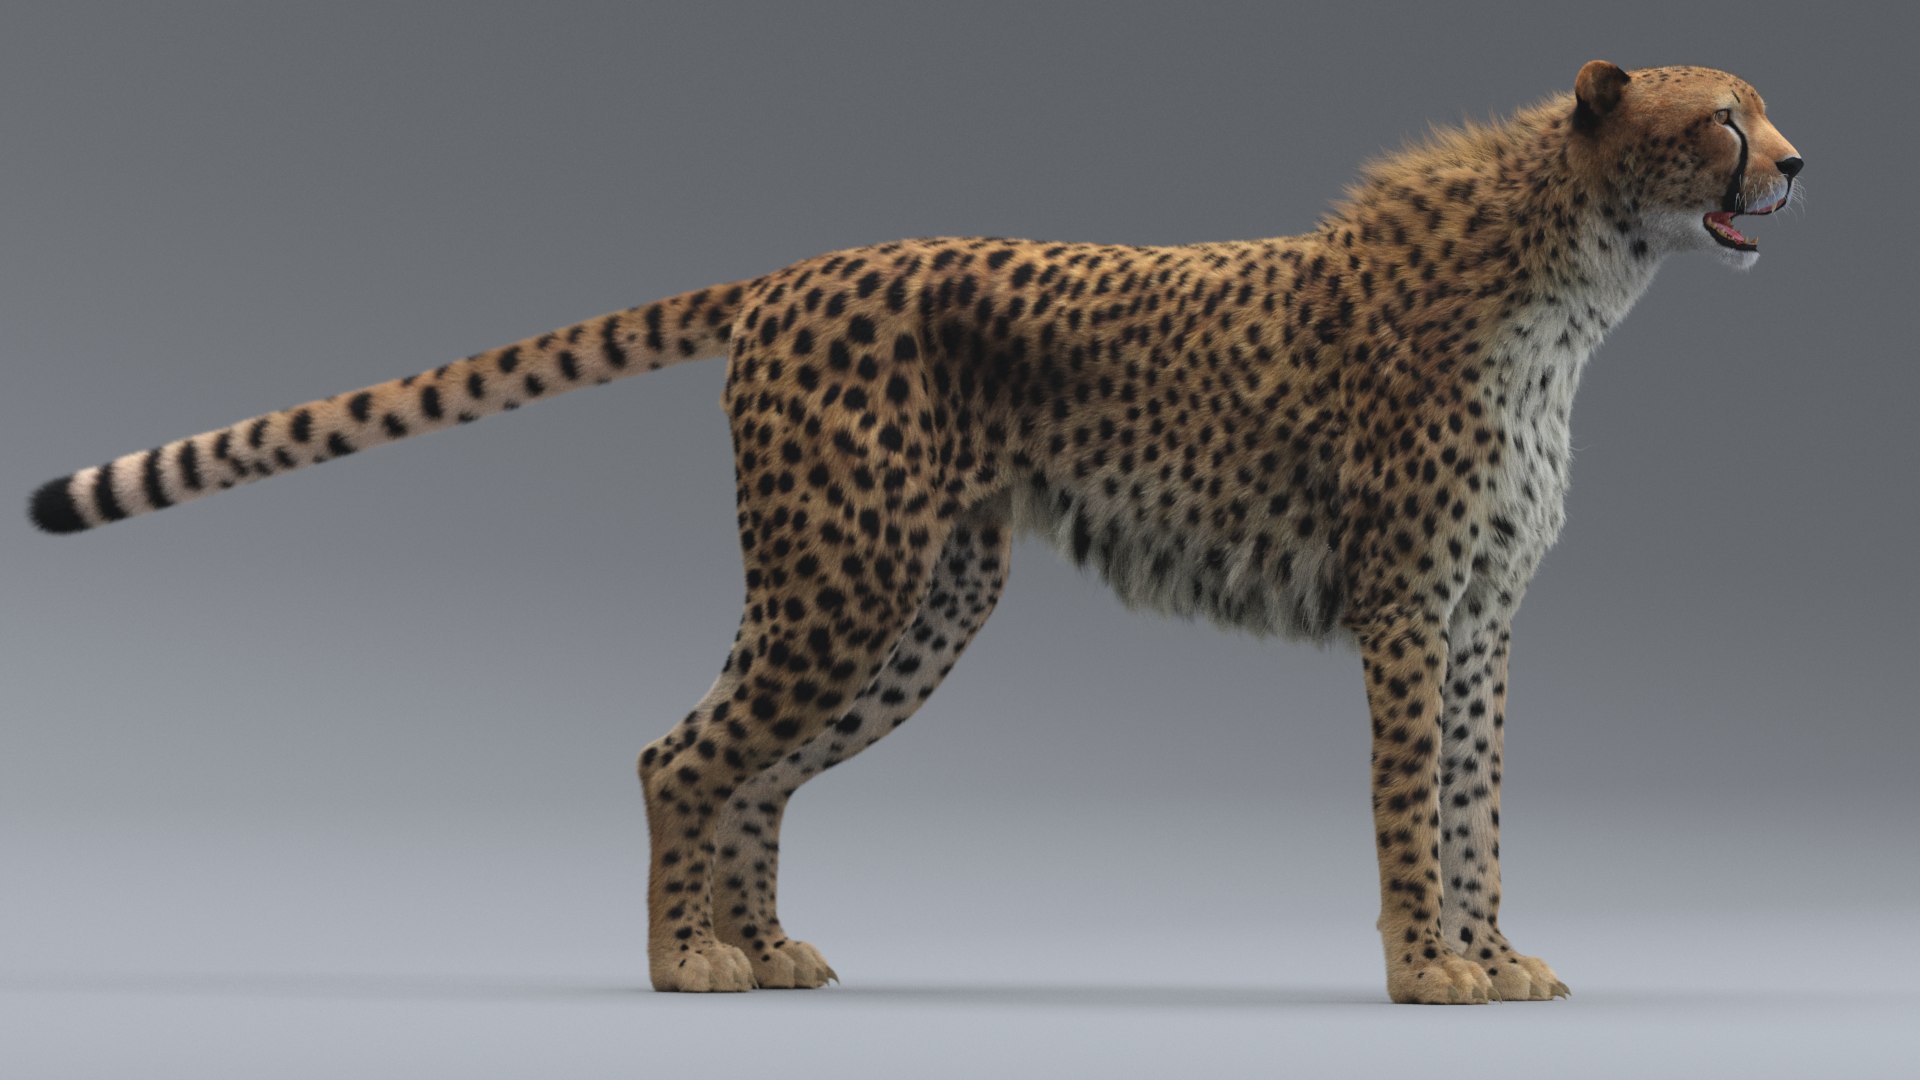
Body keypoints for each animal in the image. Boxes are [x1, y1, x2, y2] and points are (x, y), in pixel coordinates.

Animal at [28, 61, 1801, 1004]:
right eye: (1723, 118)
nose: (1798, 165)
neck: (1575, 270)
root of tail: (798, 268)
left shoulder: (1483, 619)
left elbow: (1481, 806)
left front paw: (1498, 963)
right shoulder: (1409, 615)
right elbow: (1414, 812)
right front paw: (1431, 972)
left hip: (920, 598)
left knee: (747, 768)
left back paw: (760, 950)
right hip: (853, 575)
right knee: (684, 752)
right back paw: (683, 967)